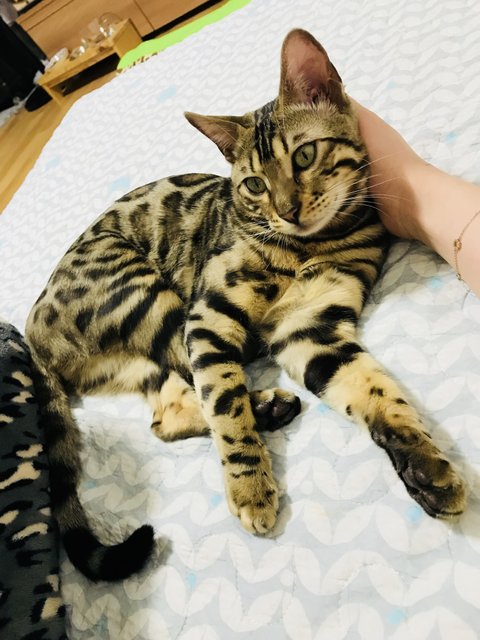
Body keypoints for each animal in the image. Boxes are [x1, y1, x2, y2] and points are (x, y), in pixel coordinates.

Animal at [25, 29, 466, 582]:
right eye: (254, 184)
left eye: (304, 157)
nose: (288, 211)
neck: (305, 247)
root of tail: (31, 331)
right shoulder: (210, 317)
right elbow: (224, 406)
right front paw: (250, 486)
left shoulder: (311, 328)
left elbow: (380, 394)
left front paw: (426, 463)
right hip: (151, 299)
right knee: (207, 386)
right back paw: (264, 407)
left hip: (137, 354)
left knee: (166, 416)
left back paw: (267, 407)